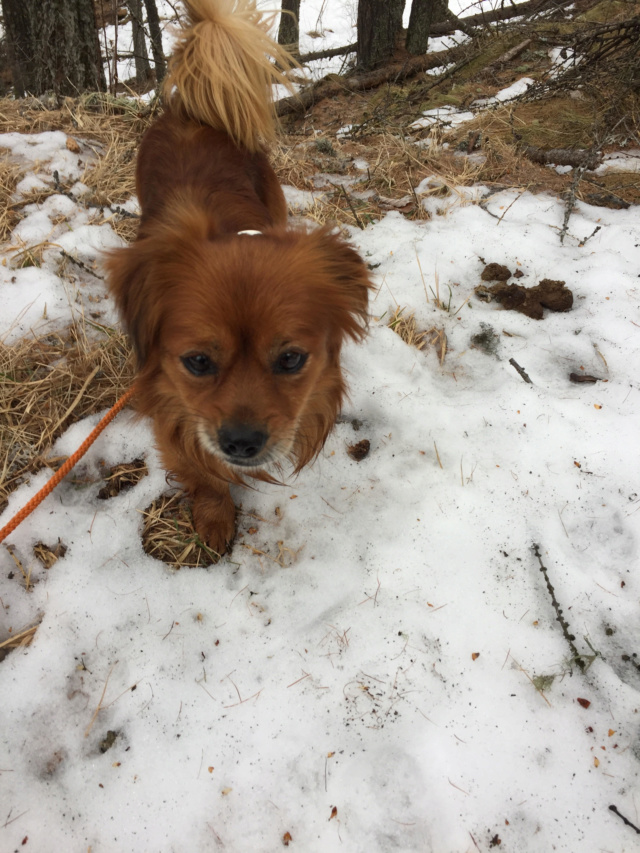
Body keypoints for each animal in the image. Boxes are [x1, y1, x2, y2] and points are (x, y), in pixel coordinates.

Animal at [106, 0, 370, 556]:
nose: (242, 442)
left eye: (291, 359)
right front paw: (213, 515)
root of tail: (191, 110)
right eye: (198, 362)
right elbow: (201, 470)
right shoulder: (174, 411)